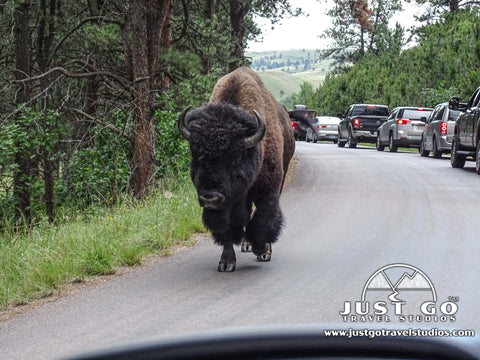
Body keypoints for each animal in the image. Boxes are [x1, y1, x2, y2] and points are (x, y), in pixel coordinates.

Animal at [178, 66, 294, 272]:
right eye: (196, 156)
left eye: (234, 158)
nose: (210, 198)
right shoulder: (227, 203)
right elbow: (228, 228)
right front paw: (226, 262)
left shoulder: (268, 191)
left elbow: (262, 218)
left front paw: (260, 249)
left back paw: (263, 250)